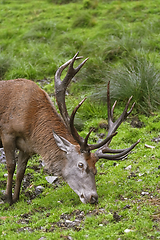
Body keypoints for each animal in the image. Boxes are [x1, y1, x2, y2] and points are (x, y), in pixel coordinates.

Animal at [0, 52, 140, 204]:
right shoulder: (7, 133)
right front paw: (7, 199)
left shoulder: (26, 147)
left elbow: (21, 171)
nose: (93, 197)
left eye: (95, 169)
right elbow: (10, 165)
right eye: (81, 165)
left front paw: (16, 198)